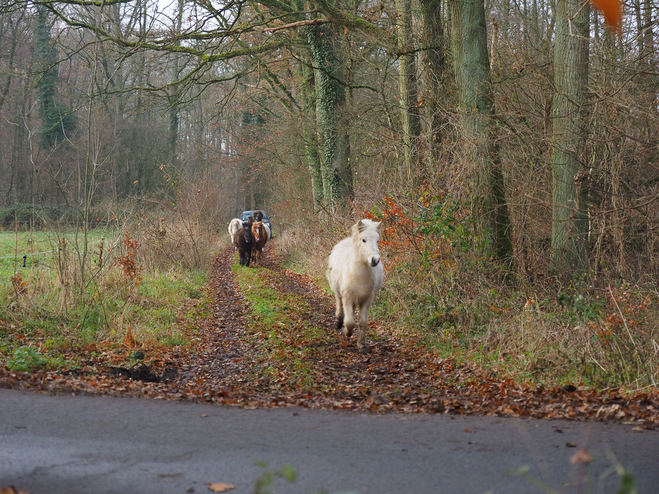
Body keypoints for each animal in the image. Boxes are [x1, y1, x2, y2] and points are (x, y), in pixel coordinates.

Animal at [328, 219, 384, 352]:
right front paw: (347, 332)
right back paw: (339, 322)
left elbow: (362, 322)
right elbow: (349, 322)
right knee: (340, 305)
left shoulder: (366, 300)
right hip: (339, 293)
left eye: (377, 240)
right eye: (363, 240)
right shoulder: (347, 298)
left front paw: (361, 345)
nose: (375, 260)